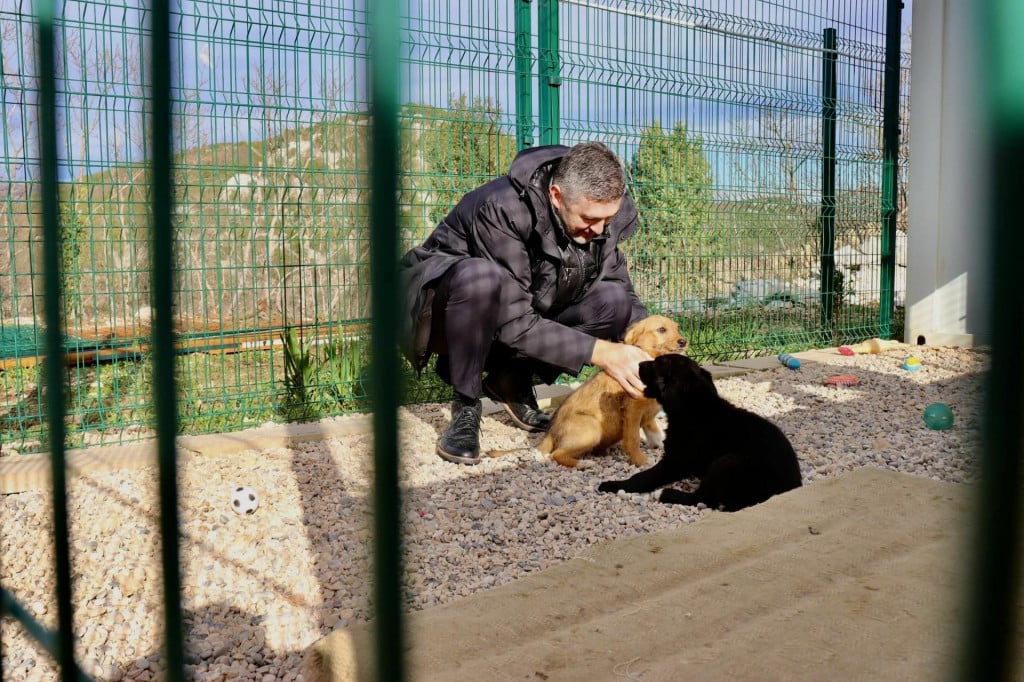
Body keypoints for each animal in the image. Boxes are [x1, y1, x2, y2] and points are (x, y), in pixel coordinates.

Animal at [536, 315, 688, 466]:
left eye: (677, 328)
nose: (684, 342)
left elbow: (654, 431)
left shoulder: (648, 412)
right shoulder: (633, 411)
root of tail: (550, 433)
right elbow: (633, 439)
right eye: (661, 329)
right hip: (592, 427)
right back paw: (584, 464)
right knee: (557, 454)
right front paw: (641, 461)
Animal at [598, 352, 802, 507]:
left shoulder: (674, 461)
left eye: (656, 364)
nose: (639, 363)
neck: (695, 406)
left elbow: (642, 477)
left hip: (726, 462)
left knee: (703, 498)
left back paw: (667, 494)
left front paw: (614, 485)